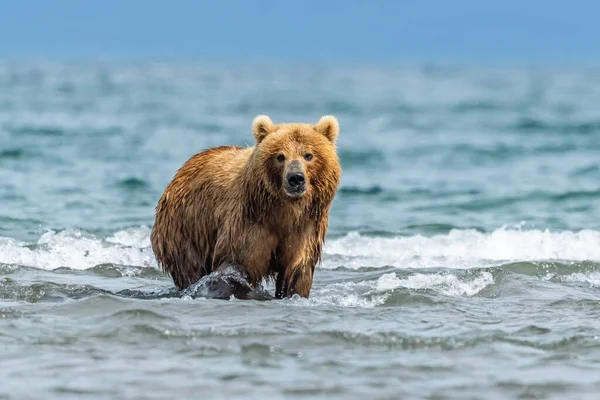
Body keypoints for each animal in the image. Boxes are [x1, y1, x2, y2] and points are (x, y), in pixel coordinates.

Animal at [150, 114, 342, 298]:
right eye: (280, 156)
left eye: (308, 155)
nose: (295, 178)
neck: (284, 209)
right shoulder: (249, 221)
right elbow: (237, 264)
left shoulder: (305, 228)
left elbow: (297, 272)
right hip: (186, 229)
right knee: (190, 268)